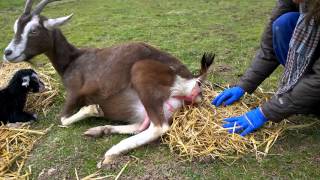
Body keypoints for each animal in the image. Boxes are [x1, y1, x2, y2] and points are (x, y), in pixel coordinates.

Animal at [3, 0, 215, 167]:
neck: (73, 60)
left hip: (141, 73)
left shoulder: (73, 95)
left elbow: (63, 120)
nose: (8, 53)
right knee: (141, 125)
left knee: (159, 126)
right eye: (15, 27)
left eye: (34, 30)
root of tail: (194, 79)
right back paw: (100, 130)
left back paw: (111, 152)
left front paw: (92, 109)